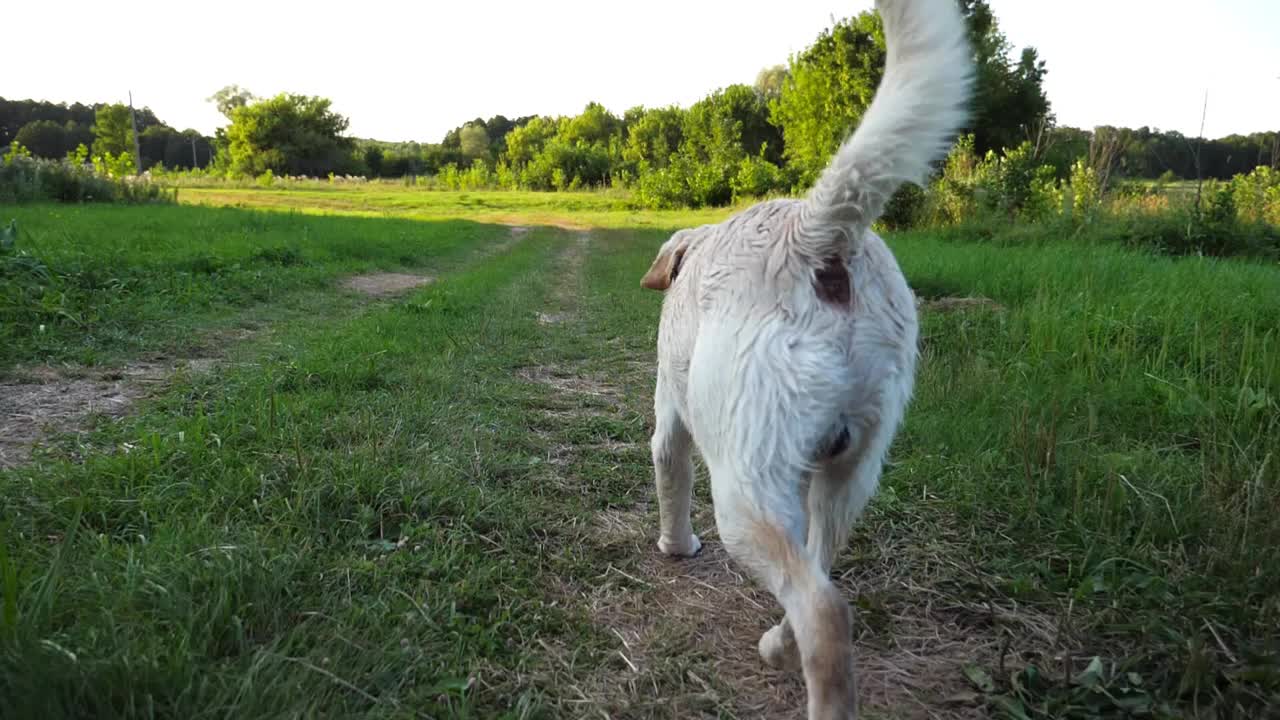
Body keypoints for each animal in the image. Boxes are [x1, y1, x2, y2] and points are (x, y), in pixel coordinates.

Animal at [640, 2, 967, 712]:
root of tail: (817, 236)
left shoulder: (669, 422)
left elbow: (669, 481)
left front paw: (676, 547)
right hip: (849, 474)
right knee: (822, 565)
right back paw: (776, 644)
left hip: (744, 489)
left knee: (823, 608)